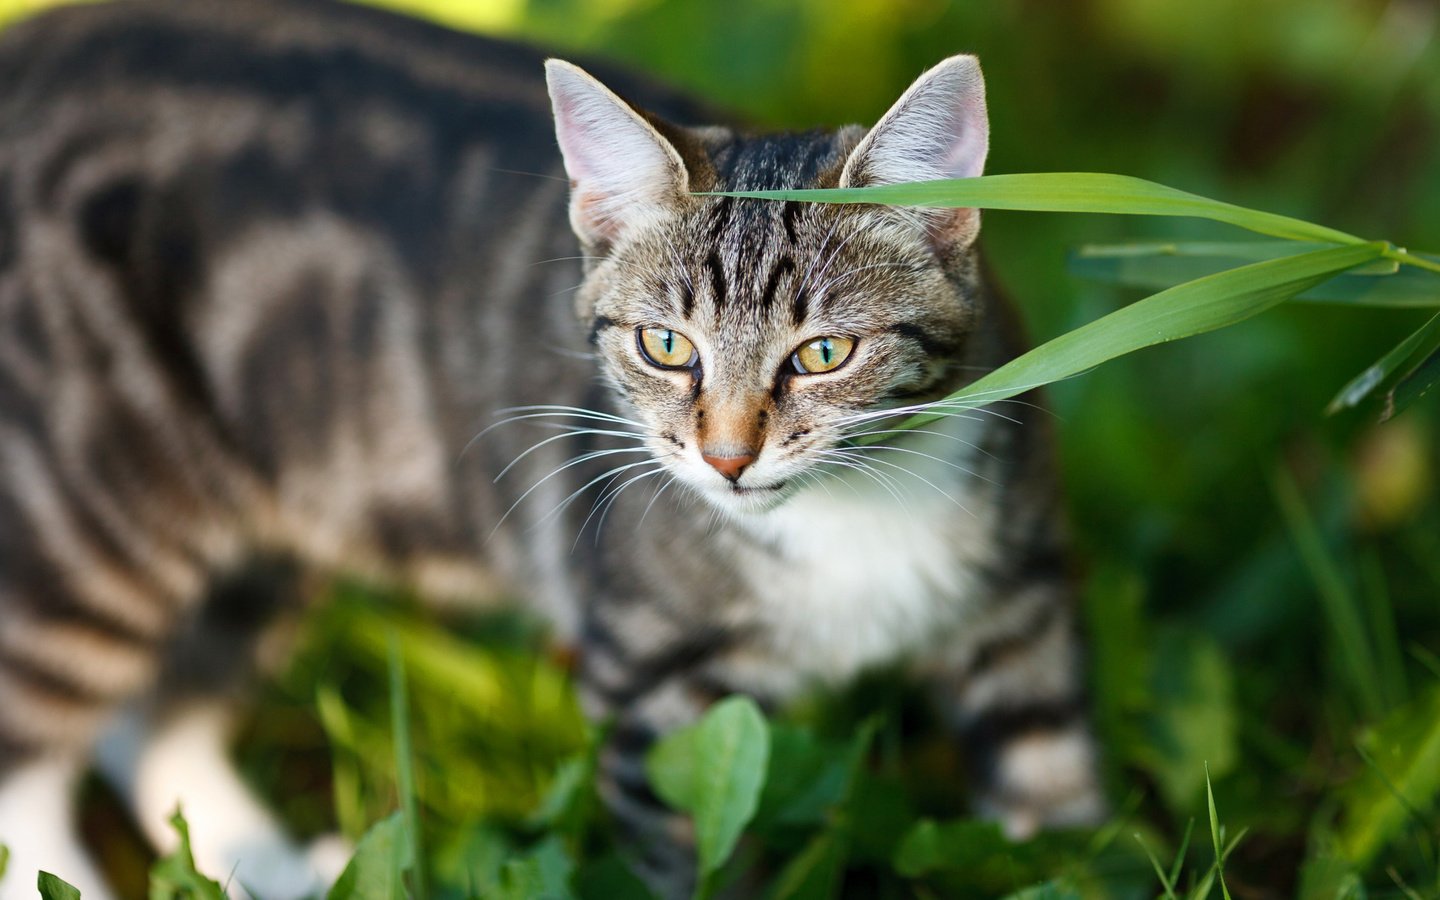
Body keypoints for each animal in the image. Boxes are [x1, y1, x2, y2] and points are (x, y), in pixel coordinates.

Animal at [0, 0, 1100, 892]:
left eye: (824, 353)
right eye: (666, 346)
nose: (727, 458)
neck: (854, 516)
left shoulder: (1024, 597)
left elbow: (1056, 791)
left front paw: (1072, 855)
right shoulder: (653, 683)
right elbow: (692, 855)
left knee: (156, 723)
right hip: (86, 510)